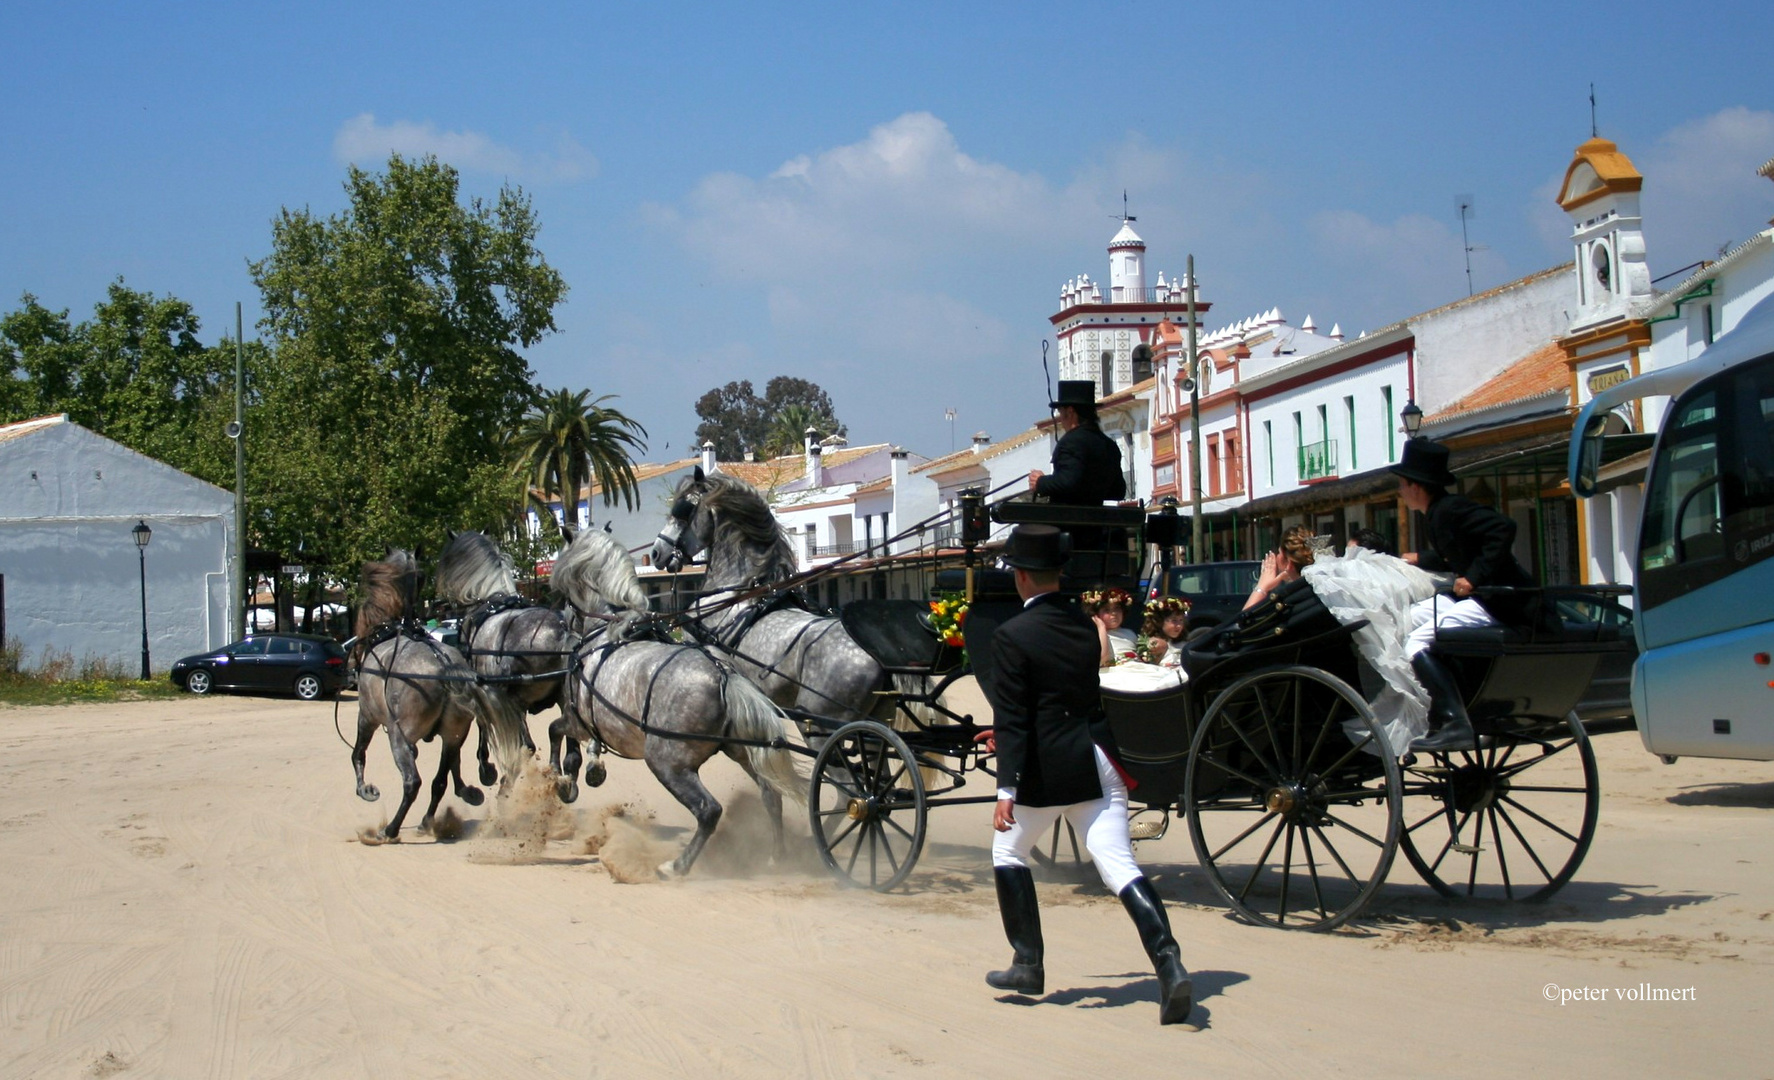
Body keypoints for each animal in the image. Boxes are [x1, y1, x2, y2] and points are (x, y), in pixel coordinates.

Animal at [349, 553, 518, 837]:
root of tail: (444, 667)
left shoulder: (367, 717)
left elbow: (358, 754)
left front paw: (364, 790)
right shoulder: (452, 735)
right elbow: (453, 766)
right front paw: (468, 790)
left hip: (399, 736)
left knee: (412, 782)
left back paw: (391, 829)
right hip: (453, 730)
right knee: (438, 781)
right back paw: (427, 820)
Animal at [553, 524, 805, 879]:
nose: (565, 621)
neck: (606, 634)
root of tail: (723, 677)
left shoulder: (577, 720)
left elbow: (555, 732)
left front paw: (563, 780)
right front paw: (584, 772)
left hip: (668, 763)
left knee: (708, 810)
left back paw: (676, 866)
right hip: (742, 752)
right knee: (771, 794)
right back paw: (776, 856)